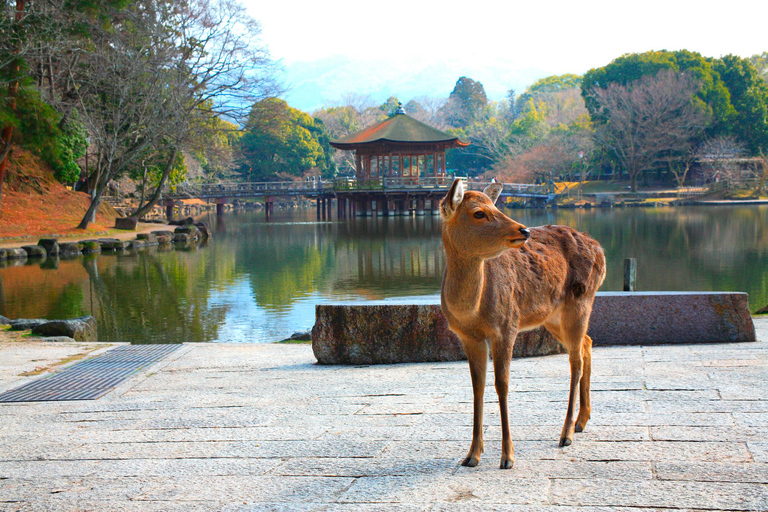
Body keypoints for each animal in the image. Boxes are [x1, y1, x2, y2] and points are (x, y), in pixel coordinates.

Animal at [438, 179, 608, 468]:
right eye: (478, 213)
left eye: (496, 206)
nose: (524, 230)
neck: (471, 311)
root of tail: (600, 249)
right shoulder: (468, 336)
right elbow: (477, 387)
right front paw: (471, 455)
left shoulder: (506, 326)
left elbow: (502, 385)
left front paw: (507, 457)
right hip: (552, 316)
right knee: (588, 343)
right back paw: (582, 421)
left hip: (581, 301)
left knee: (575, 360)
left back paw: (566, 434)